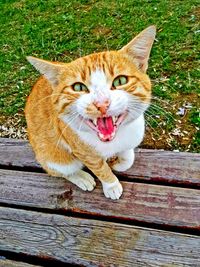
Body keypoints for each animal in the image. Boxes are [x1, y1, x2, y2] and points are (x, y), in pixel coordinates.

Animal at [25, 26, 156, 200]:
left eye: (120, 80)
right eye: (78, 87)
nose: (101, 104)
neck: (113, 141)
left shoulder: (133, 135)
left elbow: (128, 158)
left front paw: (119, 163)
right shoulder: (84, 153)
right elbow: (101, 169)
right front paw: (111, 185)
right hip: (52, 155)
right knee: (58, 170)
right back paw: (81, 177)